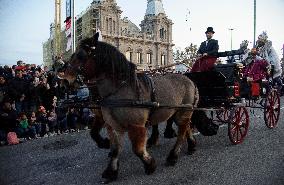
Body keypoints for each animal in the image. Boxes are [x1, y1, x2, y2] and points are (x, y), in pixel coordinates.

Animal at [62, 32, 200, 181]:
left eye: (81, 56)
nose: (64, 81)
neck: (120, 90)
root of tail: (190, 81)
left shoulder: (136, 126)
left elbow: (138, 149)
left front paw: (150, 165)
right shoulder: (113, 125)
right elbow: (115, 148)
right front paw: (111, 170)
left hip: (183, 112)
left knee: (181, 132)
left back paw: (173, 156)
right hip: (177, 113)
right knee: (186, 127)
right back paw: (191, 145)